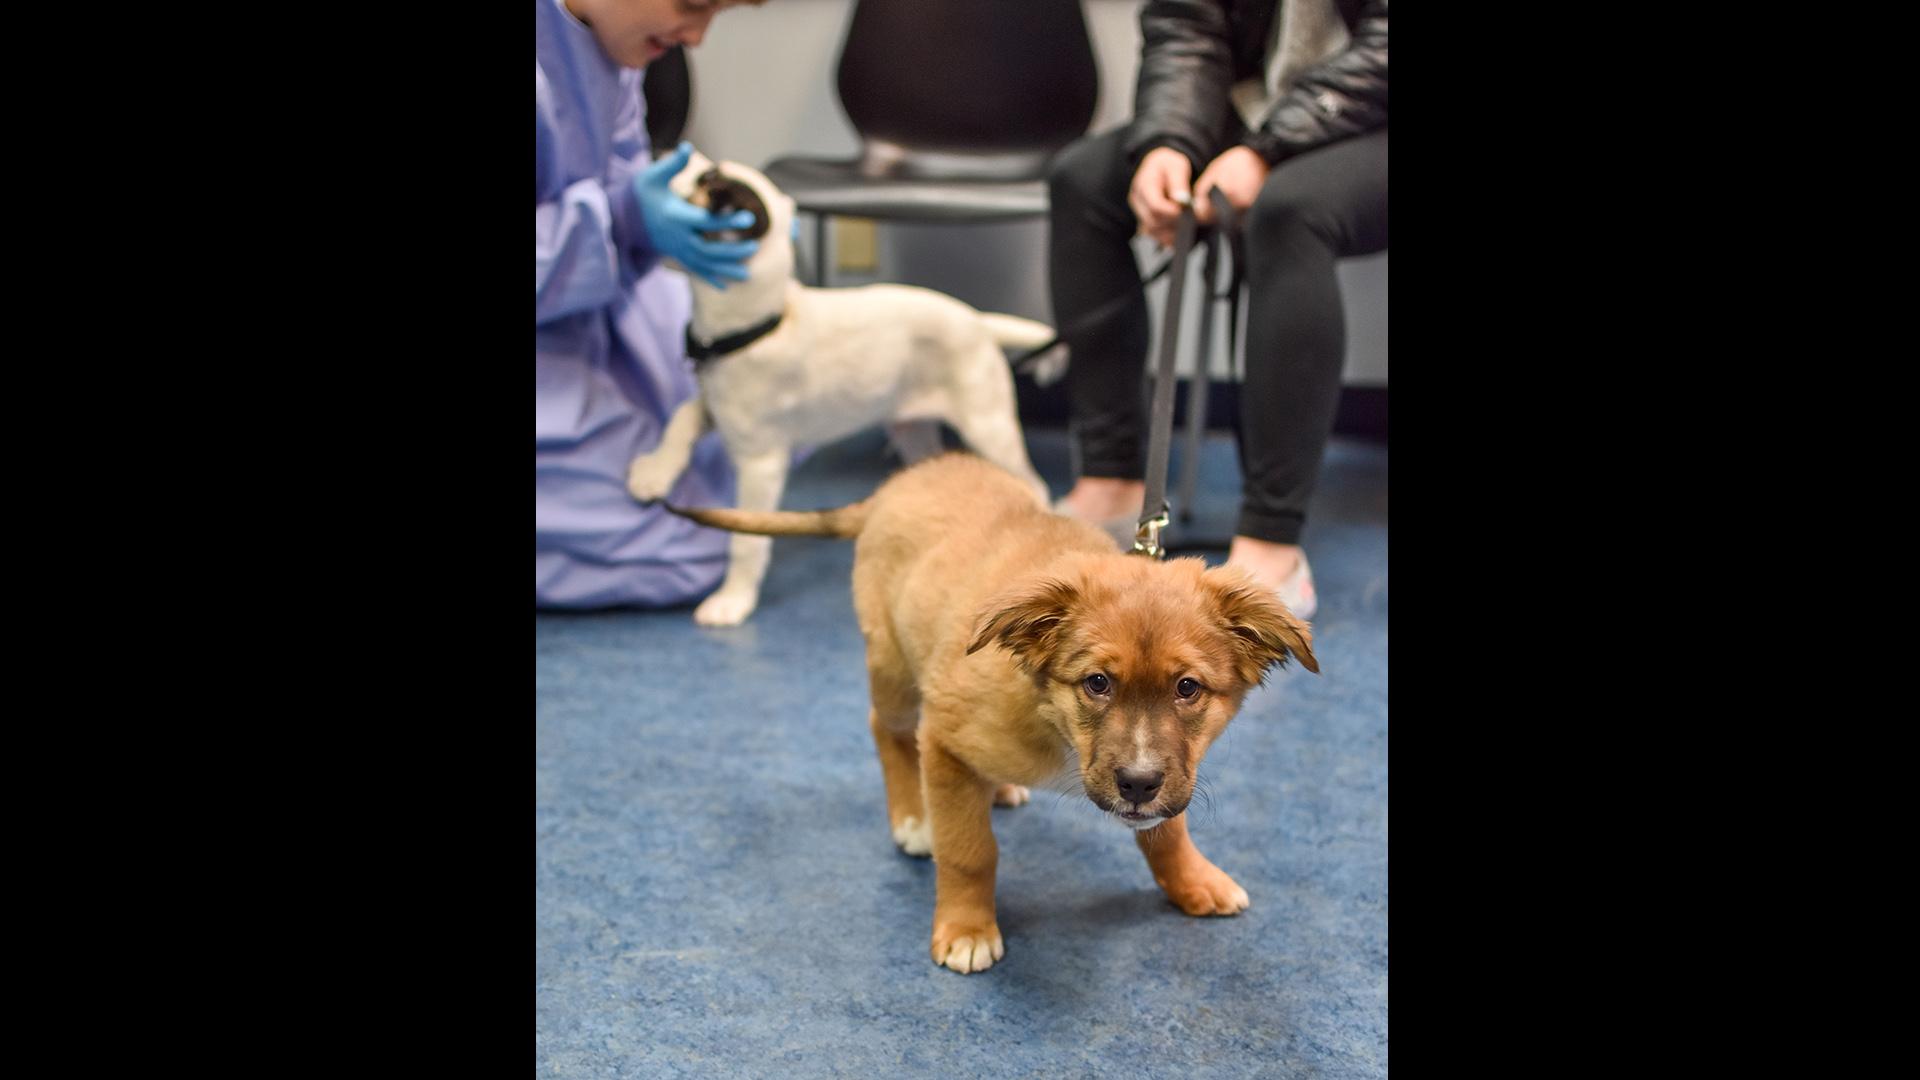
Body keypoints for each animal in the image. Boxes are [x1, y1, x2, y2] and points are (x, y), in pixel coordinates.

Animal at [625, 151, 1052, 622]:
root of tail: (978, 320)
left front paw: (732, 600)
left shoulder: (761, 461)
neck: (761, 324)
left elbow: (746, 539)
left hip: (988, 427)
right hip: (913, 432)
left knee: (1036, 486)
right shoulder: (714, 407)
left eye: (709, 177)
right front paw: (654, 473)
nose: (675, 154)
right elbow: (681, 419)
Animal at [668, 449, 1313, 972]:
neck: (1052, 719)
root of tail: (897, 484)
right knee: (887, 730)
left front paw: (1193, 882)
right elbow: (969, 850)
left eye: (1188, 688)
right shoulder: (945, 738)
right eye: (1097, 683)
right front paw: (966, 929)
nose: (1136, 784)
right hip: (895, 670)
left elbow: (1168, 830)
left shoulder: (1171, 773)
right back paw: (913, 817)